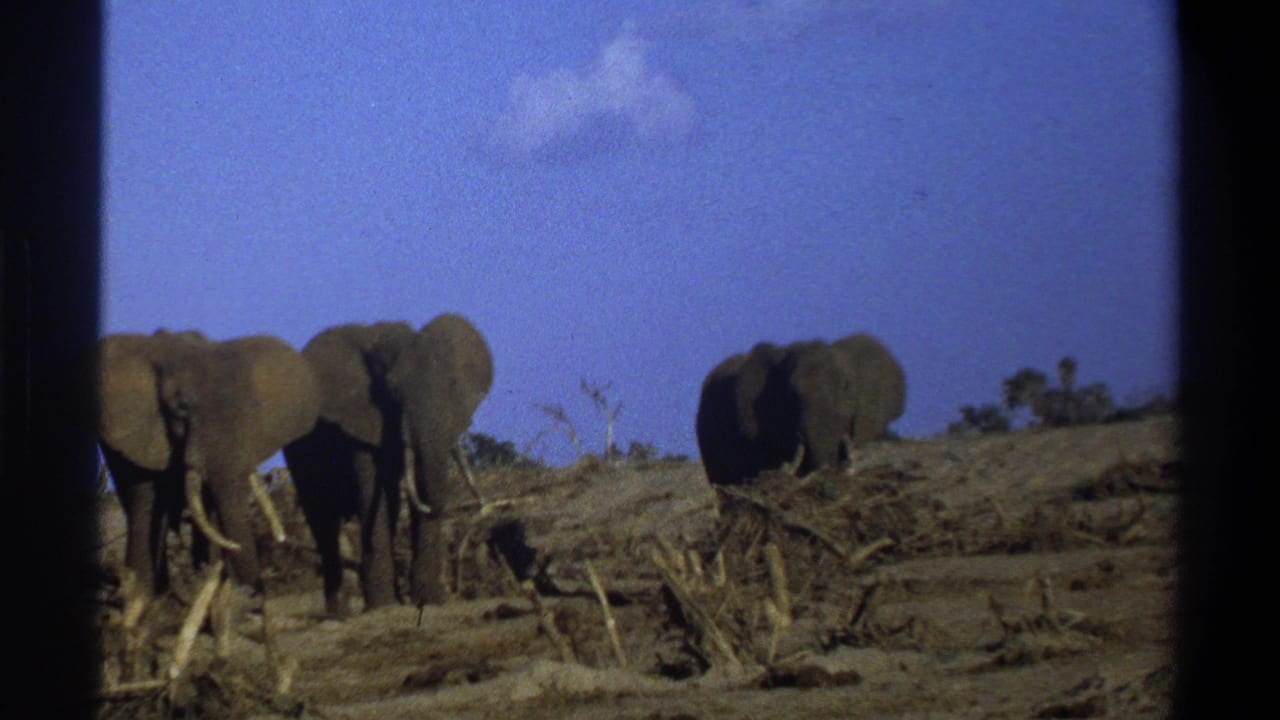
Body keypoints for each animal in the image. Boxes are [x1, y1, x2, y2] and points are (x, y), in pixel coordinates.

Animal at [282, 313, 494, 615]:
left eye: (453, 385)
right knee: (322, 519)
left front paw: (427, 601)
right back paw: (340, 614)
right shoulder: (358, 417)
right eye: (393, 391)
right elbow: (373, 488)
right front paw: (384, 606)